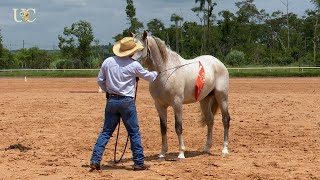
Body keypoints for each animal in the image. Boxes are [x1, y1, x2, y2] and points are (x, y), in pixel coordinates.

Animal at [131, 31, 231, 159]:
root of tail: (219, 63)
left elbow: (178, 127)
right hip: (204, 100)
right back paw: (206, 148)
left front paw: (181, 153)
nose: (130, 63)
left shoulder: (177, 103)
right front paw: (162, 153)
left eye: (141, 48)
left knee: (225, 120)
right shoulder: (159, 105)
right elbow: (163, 128)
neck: (165, 72)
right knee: (210, 120)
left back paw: (224, 150)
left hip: (222, 97)